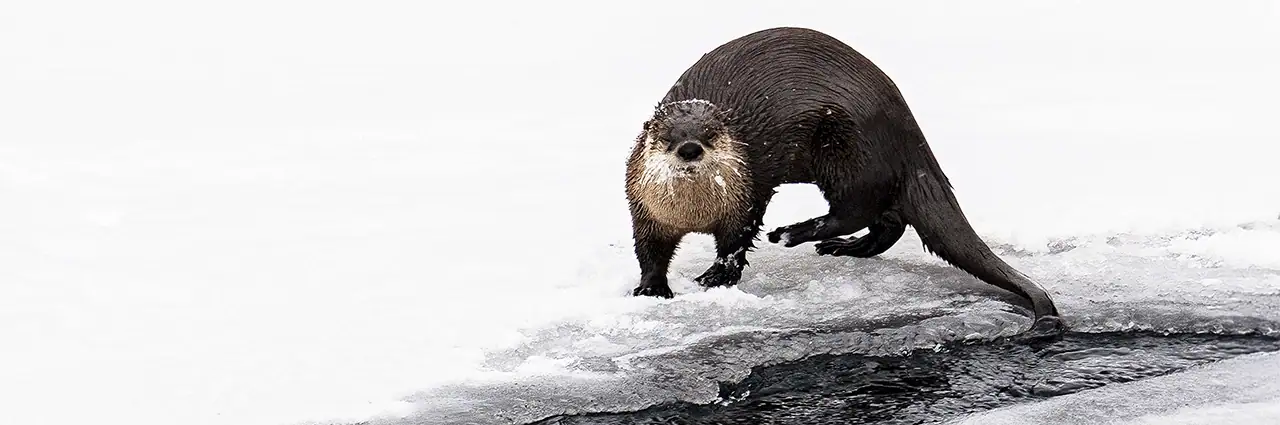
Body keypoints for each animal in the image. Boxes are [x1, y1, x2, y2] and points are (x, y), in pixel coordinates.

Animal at [624, 27, 1062, 333]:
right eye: (667, 136)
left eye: (711, 133)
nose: (690, 148)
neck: (693, 213)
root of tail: (907, 129)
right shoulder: (644, 209)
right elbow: (648, 250)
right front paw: (650, 288)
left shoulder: (746, 199)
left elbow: (736, 241)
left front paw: (718, 275)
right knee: (888, 222)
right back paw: (845, 247)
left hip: (847, 151)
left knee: (857, 209)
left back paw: (794, 233)